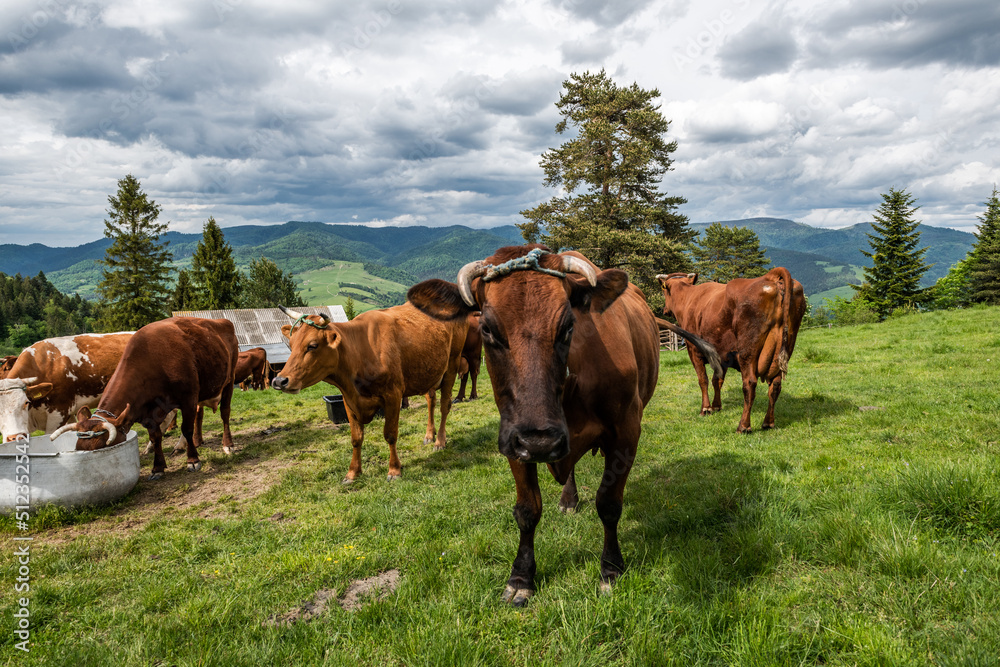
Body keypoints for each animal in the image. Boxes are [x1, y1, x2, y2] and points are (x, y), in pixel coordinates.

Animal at [51, 318, 240, 480]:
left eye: (102, 448)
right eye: (78, 448)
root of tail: (222, 322)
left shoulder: (188, 399)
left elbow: (186, 429)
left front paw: (192, 460)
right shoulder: (149, 414)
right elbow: (155, 437)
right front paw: (158, 468)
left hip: (229, 381)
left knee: (225, 413)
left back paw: (227, 444)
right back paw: (197, 441)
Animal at [268, 306, 466, 482]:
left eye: (312, 345)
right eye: (291, 344)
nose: (279, 381)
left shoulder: (393, 395)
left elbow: (390, 434)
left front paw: (394, 470)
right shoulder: (349, 400)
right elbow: (356, 438)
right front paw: (352, 473)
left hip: (451, 365)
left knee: (444, 406)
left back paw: (439, 442)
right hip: (429, 371)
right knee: (431, 401)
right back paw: (429, 435)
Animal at [406, 245, 720, 604]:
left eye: (568, 326)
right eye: (487, 329)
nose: (541, 441)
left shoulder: (627, 430)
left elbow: (609, 503)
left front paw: (611, 569)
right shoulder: (514, 437)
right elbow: (527, 509)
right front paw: (521, 577)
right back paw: (568, 499)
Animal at [656, 266, 804, 434]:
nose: (665, 310)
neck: (689, 298)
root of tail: (770, 276)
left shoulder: (694, 350)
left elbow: (703, 380)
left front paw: (706, 408)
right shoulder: (723, 354)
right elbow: (717, 380)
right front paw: (716, 406)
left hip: (747, 352)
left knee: (749, 384)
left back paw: (743, 426)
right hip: (783, 351)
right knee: (775, 386)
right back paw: (768, 422)